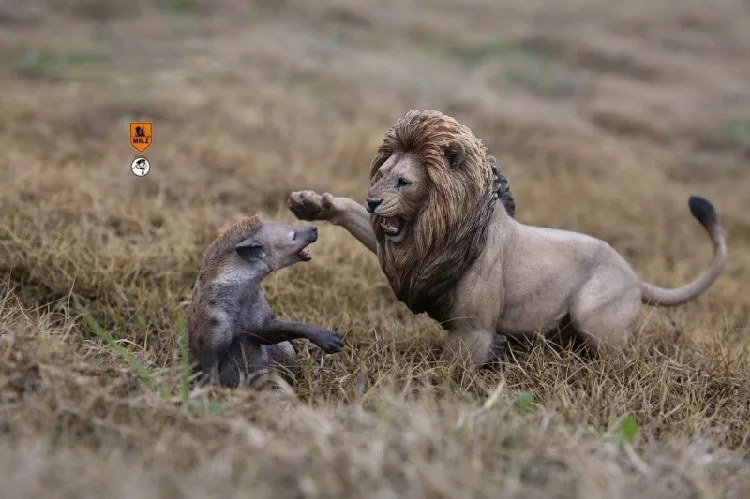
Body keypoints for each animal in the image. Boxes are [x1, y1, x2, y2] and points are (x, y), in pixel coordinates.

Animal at [287, 109, 728, 366]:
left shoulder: (473, 332)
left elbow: (451, 373)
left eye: (404, 181)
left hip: (596, 317)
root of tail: (634, 276)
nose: (374, 200)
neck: (440, 229)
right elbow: (353, 218)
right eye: (380, 173)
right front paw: (311, 204)